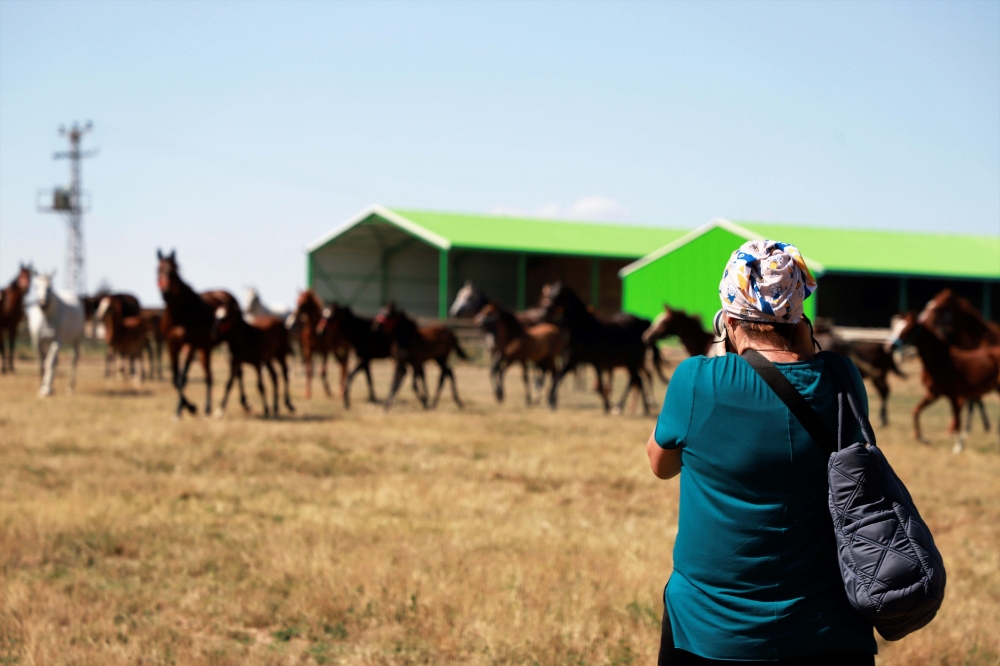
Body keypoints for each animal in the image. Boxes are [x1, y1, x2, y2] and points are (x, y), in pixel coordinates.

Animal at [157, 249, 237, 418]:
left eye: (173, 271)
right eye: (158, 269)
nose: (165, 293)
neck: (179, 314)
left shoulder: (190, 345)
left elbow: (183, 378)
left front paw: (188, 408)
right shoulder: (172, 344)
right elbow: (176, 379)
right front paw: (183, 409)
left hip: (229, 344)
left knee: (234, 372)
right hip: (206, 348)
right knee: (210, 376)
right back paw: (209, 408)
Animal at [540, 282, 651, 414]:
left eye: (558, 294)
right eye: (549, 292)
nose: (545, 310)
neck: (584, 329)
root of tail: (642, 322)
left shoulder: (596, 362)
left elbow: (601, 386)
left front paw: (607, 406)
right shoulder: (573, 361)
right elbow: (558, 377)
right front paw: (551, 402)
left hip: (632, 362)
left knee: (636, 379)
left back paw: (620, 406)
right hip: (629, 363)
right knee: (637, 380)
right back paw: (642, 408)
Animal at [887, 311, 1000, 453]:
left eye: (907, 329)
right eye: (896, 327)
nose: (888, 346)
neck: (942, 361)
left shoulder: (953, 395)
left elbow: (957, 420)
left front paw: (958, 447)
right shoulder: (933, 393)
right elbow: (916, 411)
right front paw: (923, 439)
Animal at [917, 289, 1000, 432]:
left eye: (936, 309)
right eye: (928, 304)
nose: (920, 323)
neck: (983, 340)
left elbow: (968, 400)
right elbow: (974, 399)